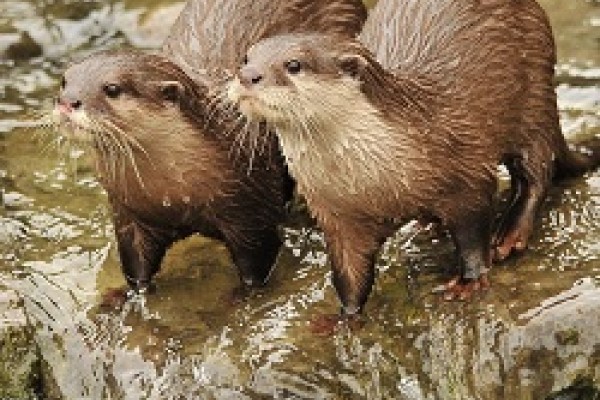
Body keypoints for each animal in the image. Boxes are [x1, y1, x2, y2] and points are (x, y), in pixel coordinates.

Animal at [51, 0, 368, 294]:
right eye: (65, 80)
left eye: (112, 88)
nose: (68, 101)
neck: (175, 196)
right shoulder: (129, 215)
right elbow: (135, 269)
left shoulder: (252, 211)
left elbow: (257, 265)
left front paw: (243, 298)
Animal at [229, 0, 600, 316]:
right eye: (246, 57)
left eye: (294, 65)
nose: (247, 76)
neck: (371, 182)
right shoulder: (338, 217)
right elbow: (349, 274)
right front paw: (345, 317)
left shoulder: (465, 174)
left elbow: (471, 235)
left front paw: (469, 281)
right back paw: (430, 224)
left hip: (534, 98)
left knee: (537, 170)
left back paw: (509, 233)